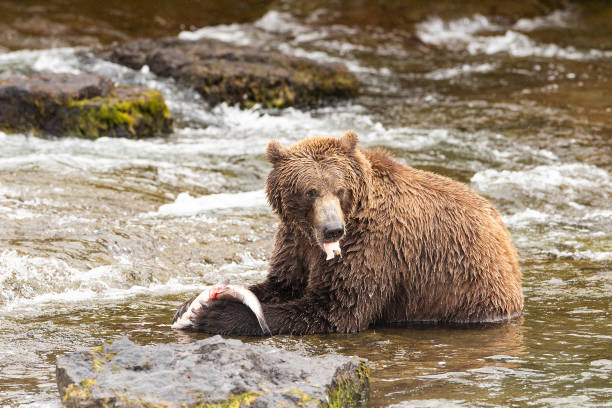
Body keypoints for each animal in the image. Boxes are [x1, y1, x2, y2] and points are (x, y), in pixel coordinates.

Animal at [172, 131, 520, 334]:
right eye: (310, 191)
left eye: (339, 189)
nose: (332, 230)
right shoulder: (295, 241)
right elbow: (281, 283)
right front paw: (189, 303)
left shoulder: (373, 246)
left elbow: (336, 308)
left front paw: (218, 313)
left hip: (467, 291)